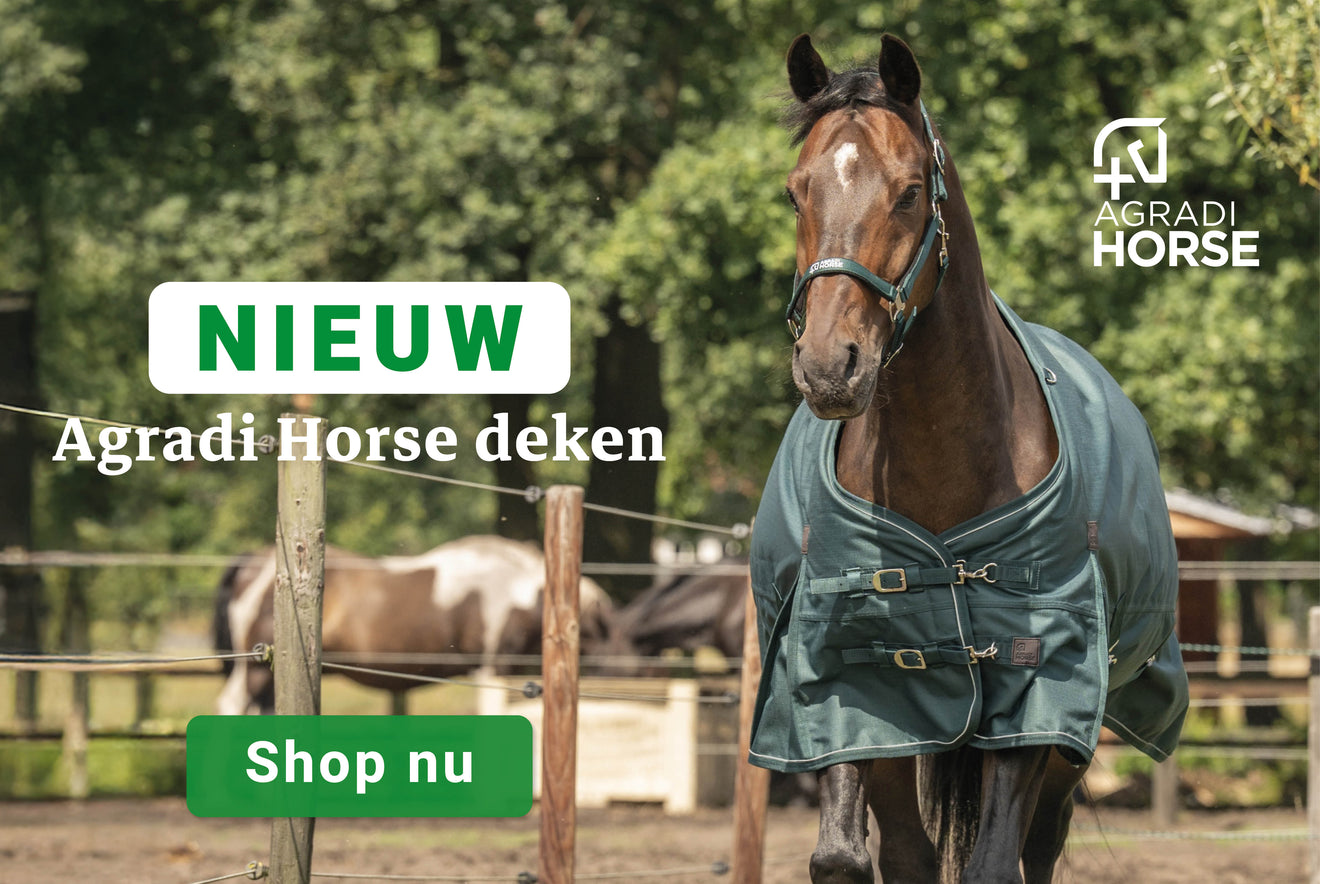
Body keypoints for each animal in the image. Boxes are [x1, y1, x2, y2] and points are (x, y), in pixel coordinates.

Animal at [747, 35, 1188, 882]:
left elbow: (991, 863)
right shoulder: (848, 684)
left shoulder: (1036, 688)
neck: (942, 467)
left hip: (1063, 757)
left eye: (910, 192)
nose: (828, 366)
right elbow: (846, 857)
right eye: (794, 193)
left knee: (1036, 849)